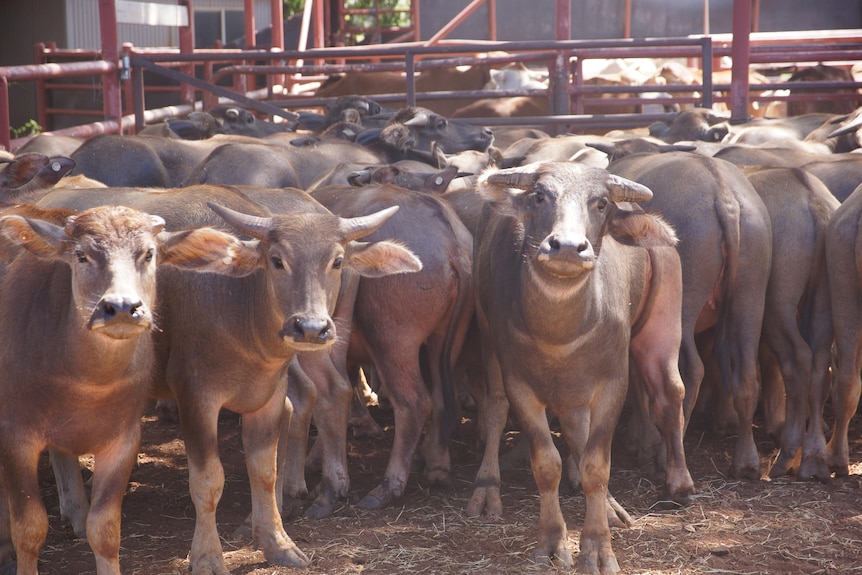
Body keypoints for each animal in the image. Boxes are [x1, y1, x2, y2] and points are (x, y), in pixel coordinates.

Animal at [0, 204, 251, 575]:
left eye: (148, 254)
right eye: (81, 255)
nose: (121, 307)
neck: (84, 382)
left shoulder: (123, 442)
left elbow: (104, 530)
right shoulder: (16, 437)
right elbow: (29, 529)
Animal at [33, 184, 422, 575]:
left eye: (337, 261)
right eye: (277, 260)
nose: (310, 327)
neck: (238, 310)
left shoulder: (269, 395)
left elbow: (264, 470)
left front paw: (278, 543)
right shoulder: (195, 396)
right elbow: (208, 480)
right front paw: (207, 557)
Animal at [466, 161, 696, 572]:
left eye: (601, 203)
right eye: (539, 196)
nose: (569, 247)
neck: (561, 333)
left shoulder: (613, 383)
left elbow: (596, 466)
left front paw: (597, 548)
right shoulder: (521, 385)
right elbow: (546, 464)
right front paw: (552, 543)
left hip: (665, 315)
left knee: (669, 390)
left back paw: (666, 489)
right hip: (486, 331)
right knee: (495, 406)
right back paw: (486, 489)